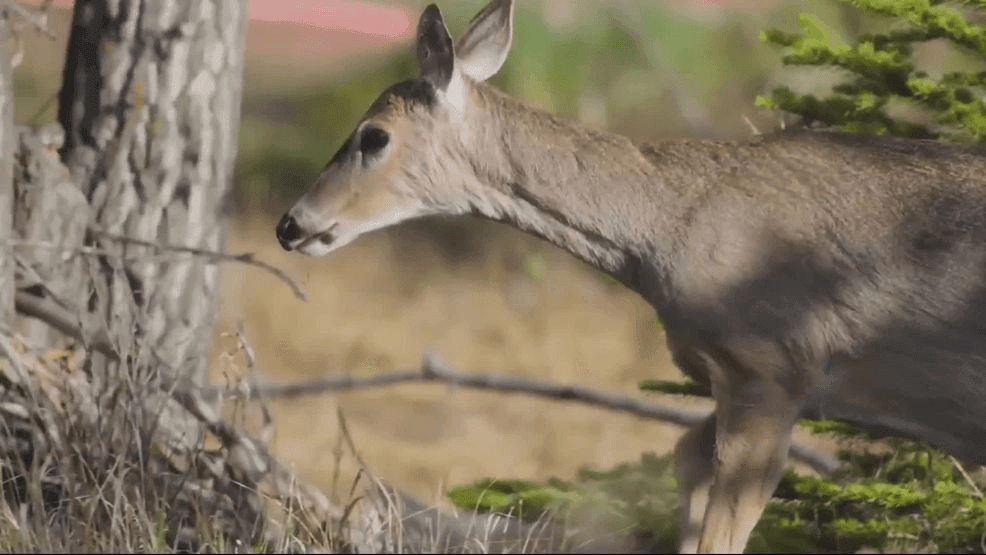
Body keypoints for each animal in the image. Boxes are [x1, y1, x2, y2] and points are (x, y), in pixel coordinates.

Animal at [274, 0, 986, 552]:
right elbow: (683, 457)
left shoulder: (772, 368)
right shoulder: (754, 384)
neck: (664, 233)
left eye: (373, 136)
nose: (291, 223)